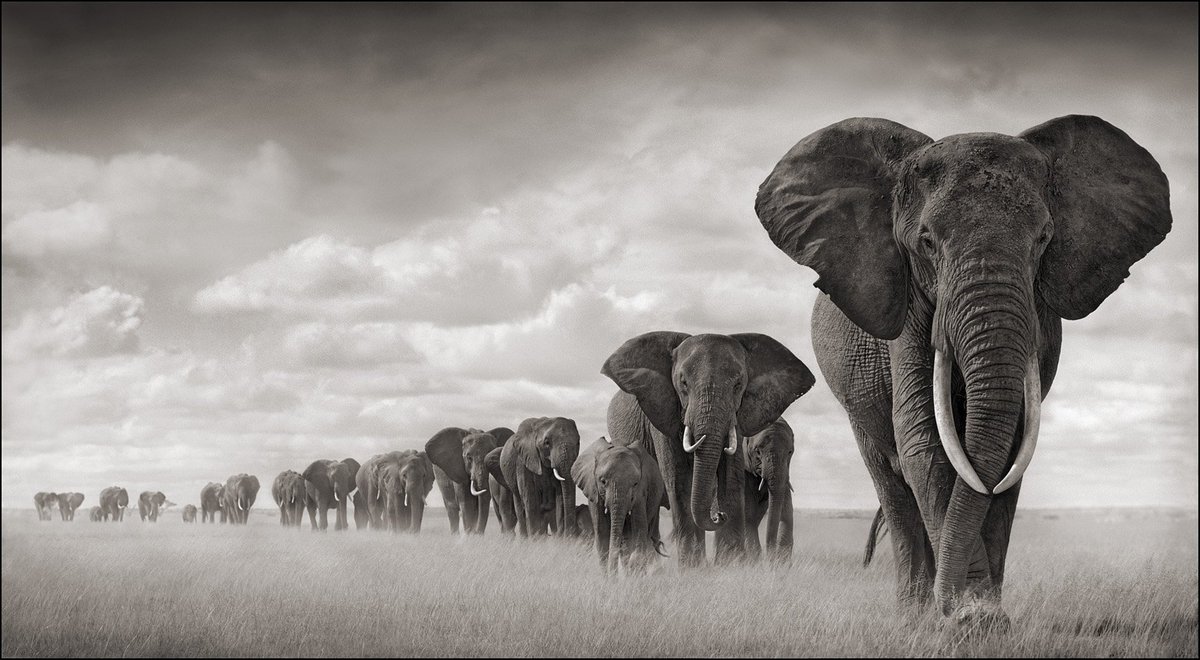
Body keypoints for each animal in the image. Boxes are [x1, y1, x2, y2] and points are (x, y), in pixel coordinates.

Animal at [571, 436, 668, 574]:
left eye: (635, 483)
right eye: (603, 481)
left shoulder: (641, 492)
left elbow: (638, 530)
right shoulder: (594, 490)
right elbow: (602, 534)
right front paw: (608, 578)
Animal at [742, 418, 796, 564]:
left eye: (790, 452)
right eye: (757, 452)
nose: (770, 559)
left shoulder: (785, 474)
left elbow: (787, 513)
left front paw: (781, 565)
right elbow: (748, 516)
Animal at [755, 115, 1172, 623]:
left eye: (1043, 239)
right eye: (927, 242)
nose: (956, 608)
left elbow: (1012, 447)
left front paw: (982, 617)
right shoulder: (909, 307)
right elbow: (924, 440)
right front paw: (968, 619)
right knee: (892, 483)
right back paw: (913, 613)